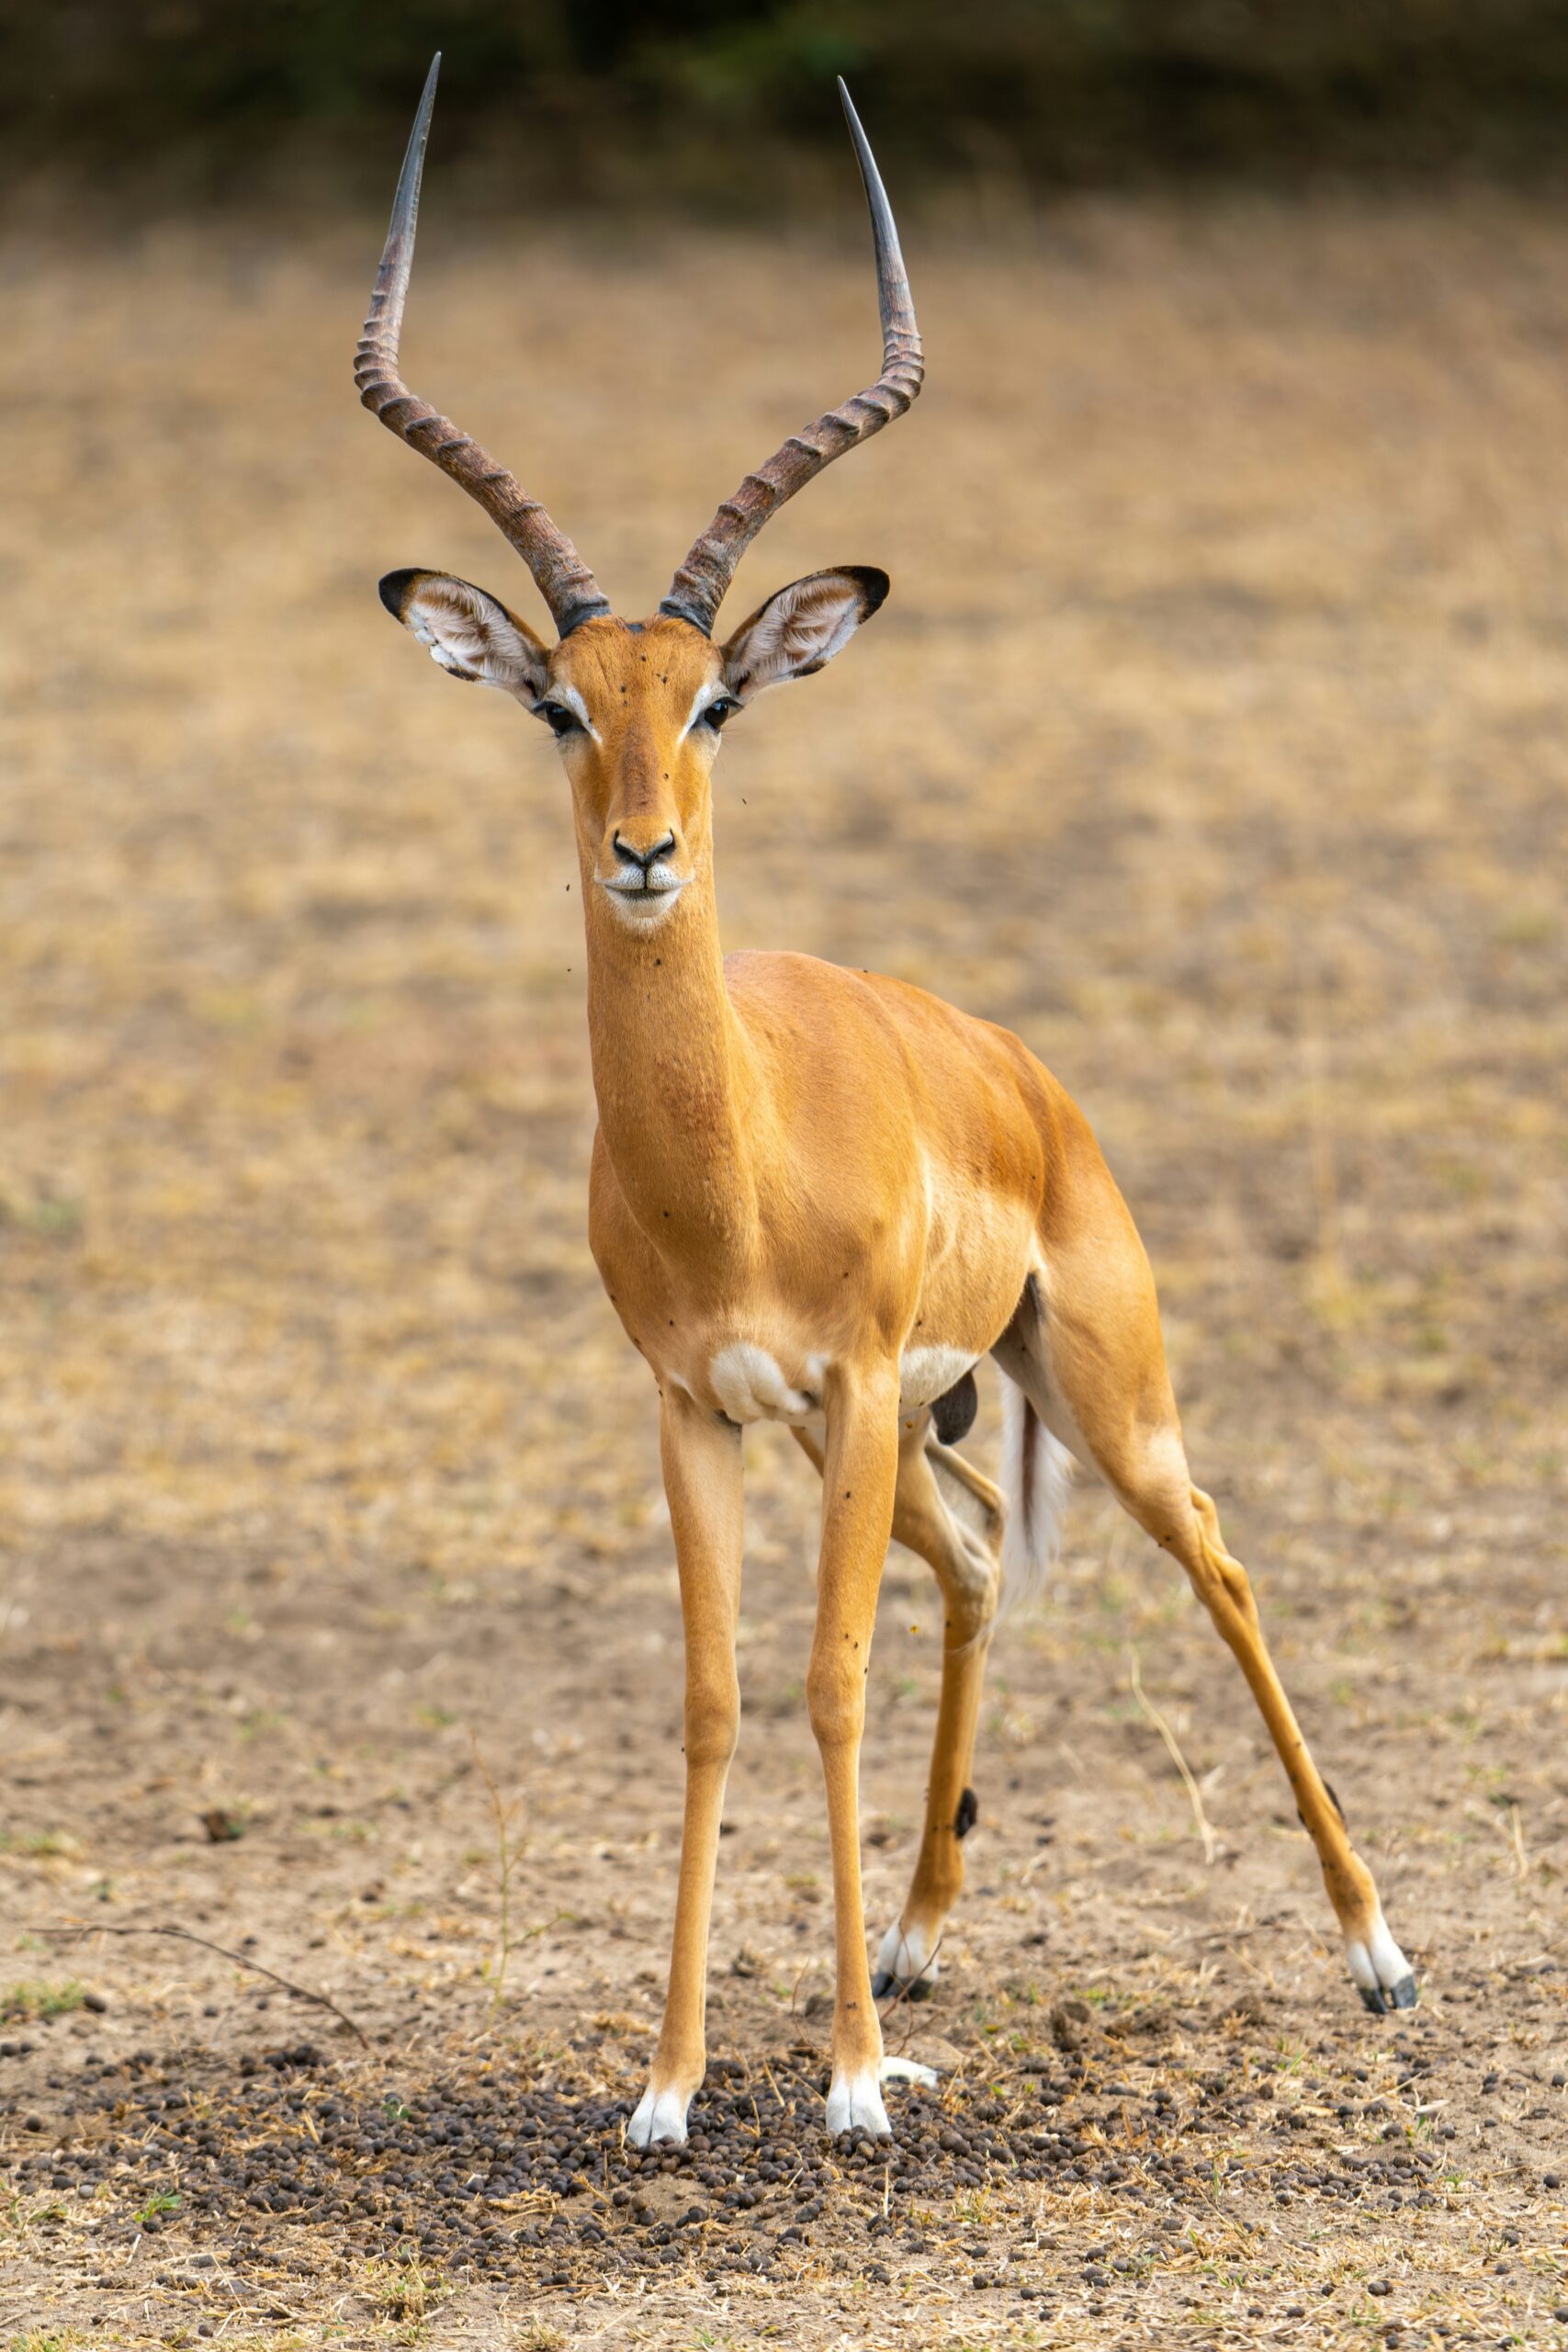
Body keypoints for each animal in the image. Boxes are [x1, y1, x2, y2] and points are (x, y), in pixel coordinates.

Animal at [357, 57, 1417, 2145]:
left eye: (713, 700)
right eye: (560, 704)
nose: (643, 852)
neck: (732, 1164)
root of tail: (1019, 1074)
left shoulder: (843, 1385)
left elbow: (827, 1681)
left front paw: (847, 2081)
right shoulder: (694, 1403)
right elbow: (711, 1701)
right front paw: (672, 2085)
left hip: (1093, 1389)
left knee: (1220, 1556)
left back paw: (1372, 1950)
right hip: (906, 1432)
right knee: (988, 1557)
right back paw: (923, 1937)